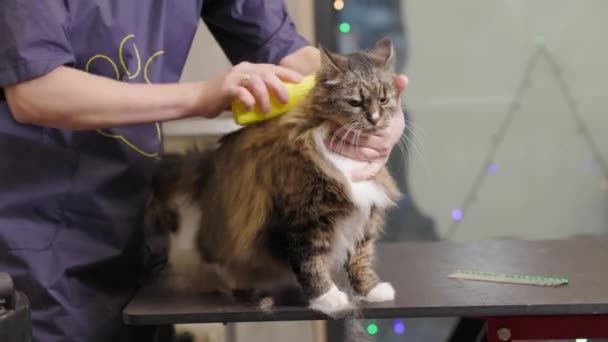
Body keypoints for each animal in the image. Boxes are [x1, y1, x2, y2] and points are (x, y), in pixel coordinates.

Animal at [144, 36, 404, 316]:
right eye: (355, 102)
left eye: (384, 100)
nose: (375, 119)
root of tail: (209, 163)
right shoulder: (302, 218)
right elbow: (311, 263)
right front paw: (328, 299)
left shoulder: (365, 215)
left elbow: (361, 258)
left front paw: (371, 290)